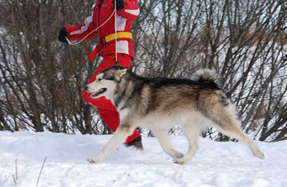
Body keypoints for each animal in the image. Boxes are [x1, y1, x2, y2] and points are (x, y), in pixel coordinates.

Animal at [85, 66, 266, 164]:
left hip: (220, 122)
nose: (86, 87)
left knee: (246, 137)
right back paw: (182, 160)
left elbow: (107, 145)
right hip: (189, 126)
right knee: (194, 147)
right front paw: (177, 154)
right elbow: (166, 148)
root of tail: (210, 84)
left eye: (100, 79)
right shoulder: (159, 128)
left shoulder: (126, 127)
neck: (127, 89)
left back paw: (258, 153)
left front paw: (95, 159)